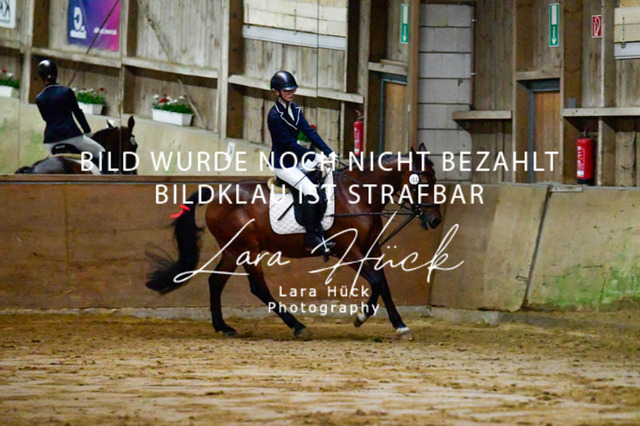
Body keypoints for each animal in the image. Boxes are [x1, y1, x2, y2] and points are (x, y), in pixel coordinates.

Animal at [146, 143, 442, 339]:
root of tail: (218, 192)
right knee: (258, 288)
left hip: (233, 250)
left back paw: (224, 327)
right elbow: (377, 282)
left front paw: (400, 325)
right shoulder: (348, 250)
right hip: (247, 250)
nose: (436, 220)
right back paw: (298, 326)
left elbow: (385, 285)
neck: (358, 194)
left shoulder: (372, 248)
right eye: (424, 182)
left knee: (216, 282)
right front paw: (360, 318)